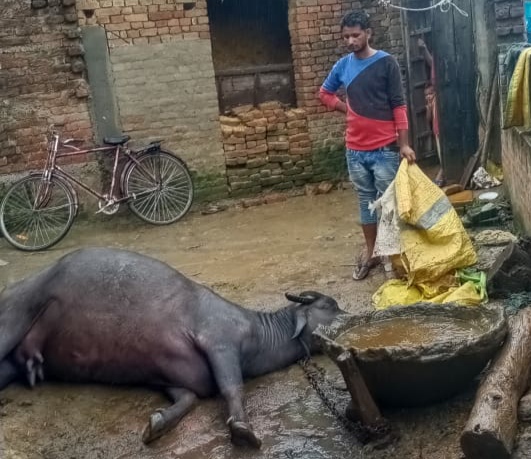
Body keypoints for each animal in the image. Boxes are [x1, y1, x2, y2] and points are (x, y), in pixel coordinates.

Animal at [0, 248, 348, 450]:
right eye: (329, 305)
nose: (350, 315)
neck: (258, 335)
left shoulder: (171, 378)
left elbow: (189, 399)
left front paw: (156, 424)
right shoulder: (220, 342)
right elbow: (232, 387)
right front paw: (243, 430)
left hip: (15, 362)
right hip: (14, 317)